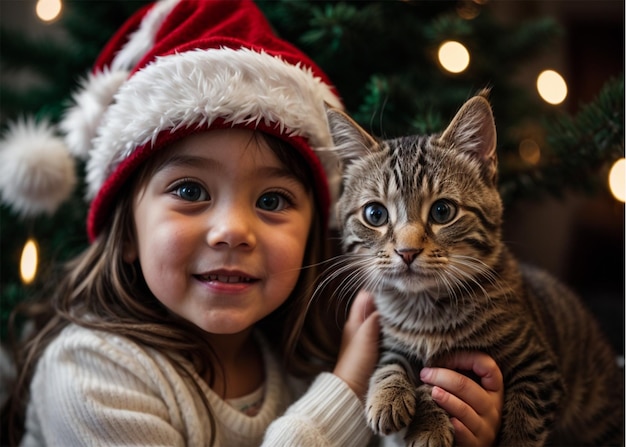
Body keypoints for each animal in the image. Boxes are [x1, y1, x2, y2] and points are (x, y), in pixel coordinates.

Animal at [324, 92, 620, 447]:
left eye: (442, 211)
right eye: (375, 214)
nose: (407, 251)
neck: (427, 312)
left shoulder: (539, 367)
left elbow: (522, 421)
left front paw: (430, 423)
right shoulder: (393, 338)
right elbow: (392, 360)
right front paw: (390, 397)